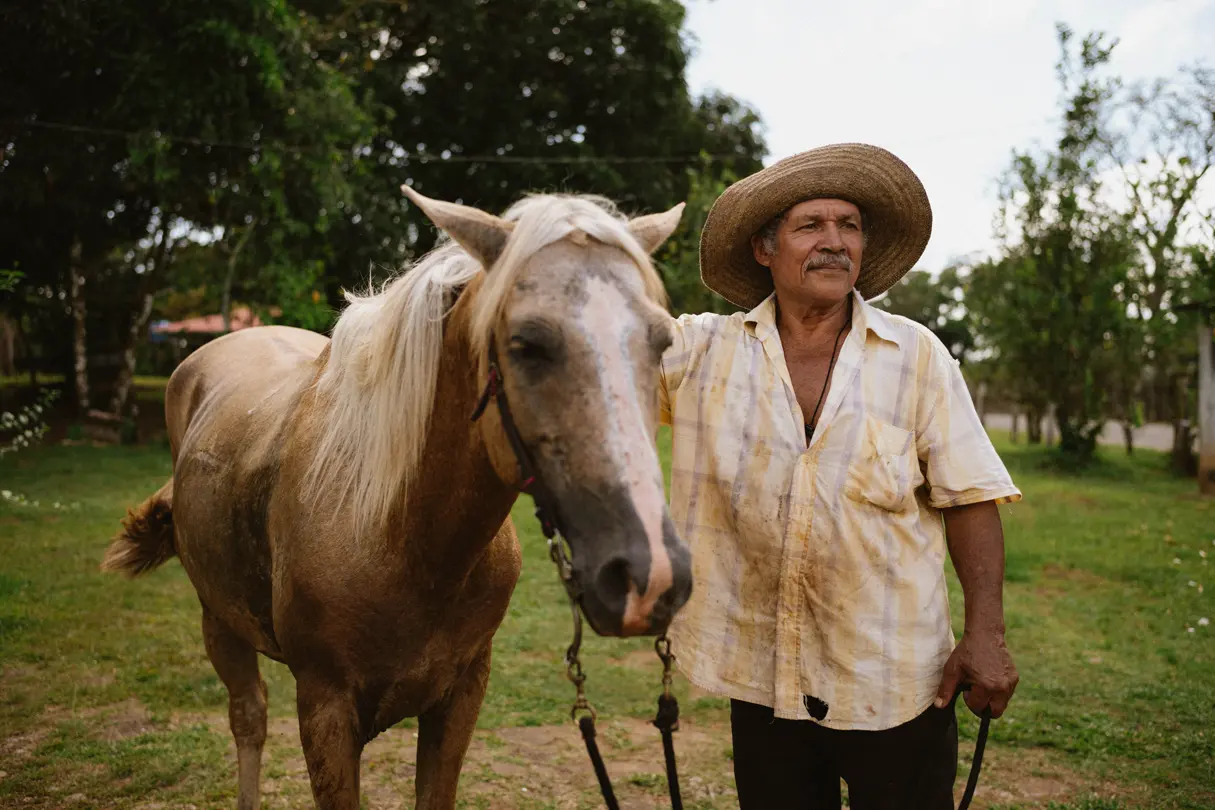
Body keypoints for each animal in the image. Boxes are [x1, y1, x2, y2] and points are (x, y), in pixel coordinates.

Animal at [101, 187, 694, 810]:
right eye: (526, 344)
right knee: (249, 721)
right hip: (219, 622)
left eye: (663, 343)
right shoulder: (325, 712)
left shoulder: (461, 696)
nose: (649, 575)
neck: (401, 536)